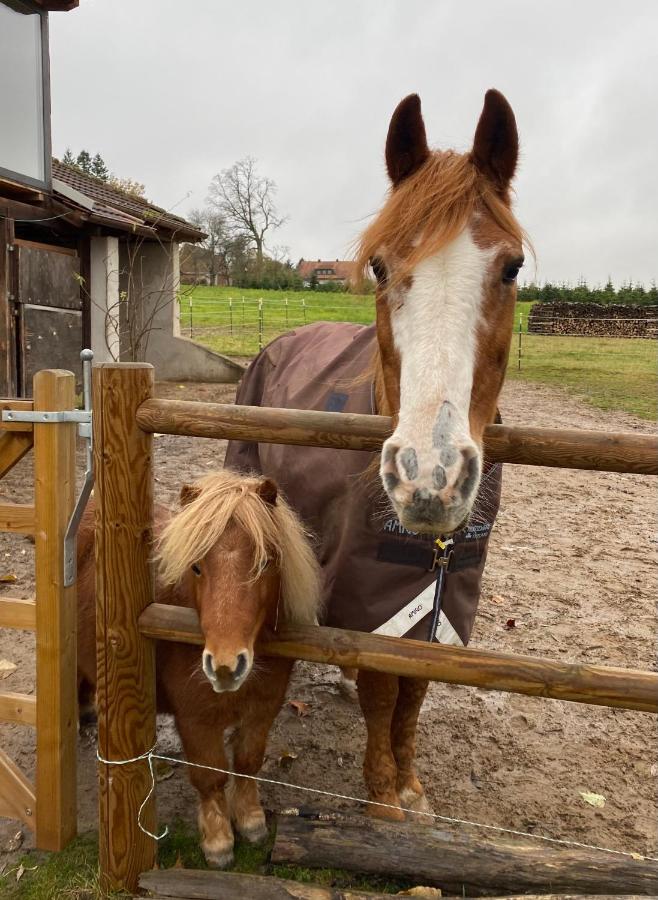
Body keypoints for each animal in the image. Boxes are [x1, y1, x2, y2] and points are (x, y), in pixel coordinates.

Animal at [75, 472, 320, 864]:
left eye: (265, 564)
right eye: (196, 567)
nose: (225, 666)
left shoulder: (262, 710)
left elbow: (248, 761)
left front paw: (250, 821)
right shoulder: (195, 720)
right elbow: (210, 777)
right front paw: (218, 841)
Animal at [224, 93, 524, 824]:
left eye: (511, 268)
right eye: (382, 268)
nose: (430, 477)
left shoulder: (440, 594)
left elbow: (414, 685)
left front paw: (411, 786)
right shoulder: (376, 588)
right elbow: (386, 691)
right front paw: (385, 795)